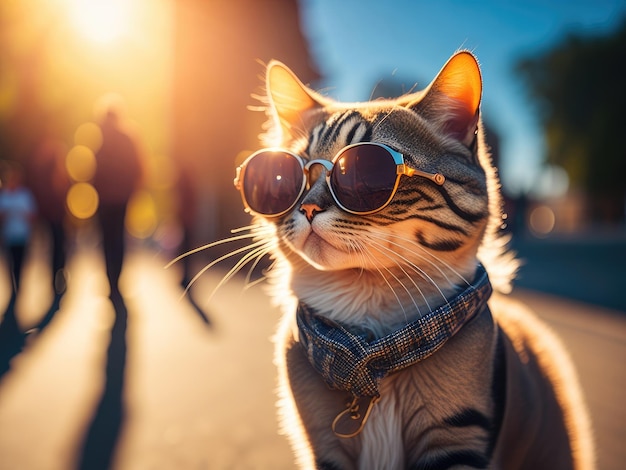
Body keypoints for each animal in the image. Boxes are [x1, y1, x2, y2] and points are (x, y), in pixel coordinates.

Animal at [225, 49, 596, 468]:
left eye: (361, 171)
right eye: (281, 176)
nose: (307, 207)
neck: (370, 351)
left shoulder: (457, 442)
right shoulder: (324, 446)